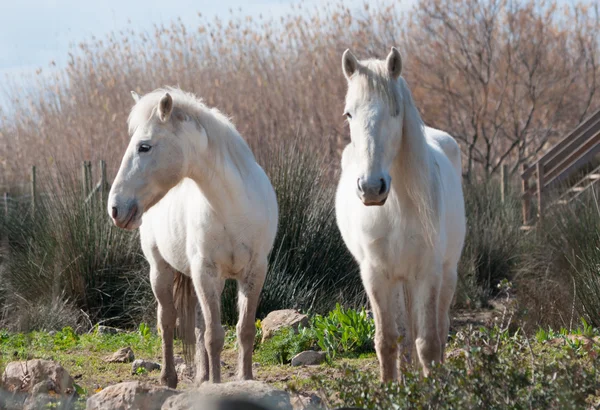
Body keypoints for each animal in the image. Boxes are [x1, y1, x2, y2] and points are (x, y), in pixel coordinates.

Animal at [108, 88, 278, 386]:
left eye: (144, 146)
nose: (116, 208)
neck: (233, 207)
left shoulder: (254, 271)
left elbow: (244, 331)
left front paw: (245, 380)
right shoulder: (205, 272)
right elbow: (214, 336)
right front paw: (217, 386)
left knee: (198, 326)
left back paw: (202, 377)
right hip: (160, 270)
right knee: (167, 321)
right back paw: (169, 378)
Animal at [336, 47, 466, 382]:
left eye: (395, 111)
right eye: (349, 114)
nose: (371, 188)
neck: (394, 209)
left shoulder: (428, 273)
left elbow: (429, 343)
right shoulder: (376, 276)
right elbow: (387, 341)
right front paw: (390, 387)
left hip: (446, 273)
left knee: (439, 329)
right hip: (399, 280)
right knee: (405, 335)